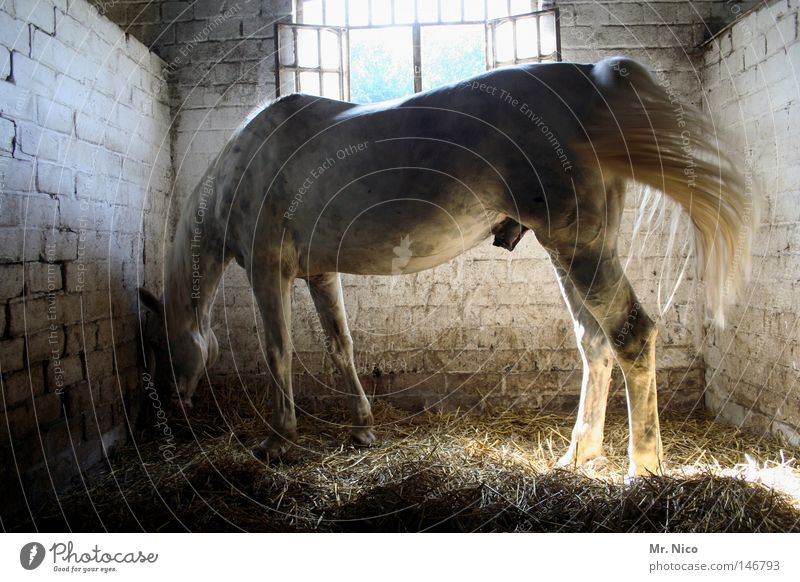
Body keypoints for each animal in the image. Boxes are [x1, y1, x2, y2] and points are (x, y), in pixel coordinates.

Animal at [139, 57, 752, 482]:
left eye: (161, 347)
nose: (171, 412)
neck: (242, 166)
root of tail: (589, 80)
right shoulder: (320, 275)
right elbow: (341, 348)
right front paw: (362, 428)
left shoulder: (269, 270)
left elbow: (278, 351)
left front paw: (277, 440)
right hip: (569, 250)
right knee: (594, 343)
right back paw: (578, 455)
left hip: (582, 248)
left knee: (631, 335)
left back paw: (642, 469)